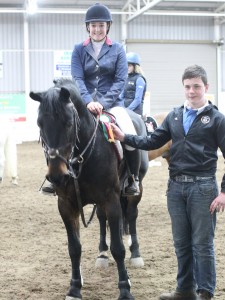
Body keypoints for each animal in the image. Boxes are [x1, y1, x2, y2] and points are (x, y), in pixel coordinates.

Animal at [29, 78, 149, 300]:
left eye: (68, 123)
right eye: (40, 124)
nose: (57, 176)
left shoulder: (111, 200)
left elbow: (119, 248)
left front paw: (125, 289)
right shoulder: (66, 205)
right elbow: (74, 248)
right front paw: (75, 288)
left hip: (135, 190)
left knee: (131, 215)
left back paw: (136, 254)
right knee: (102, 219)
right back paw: (102, 254)